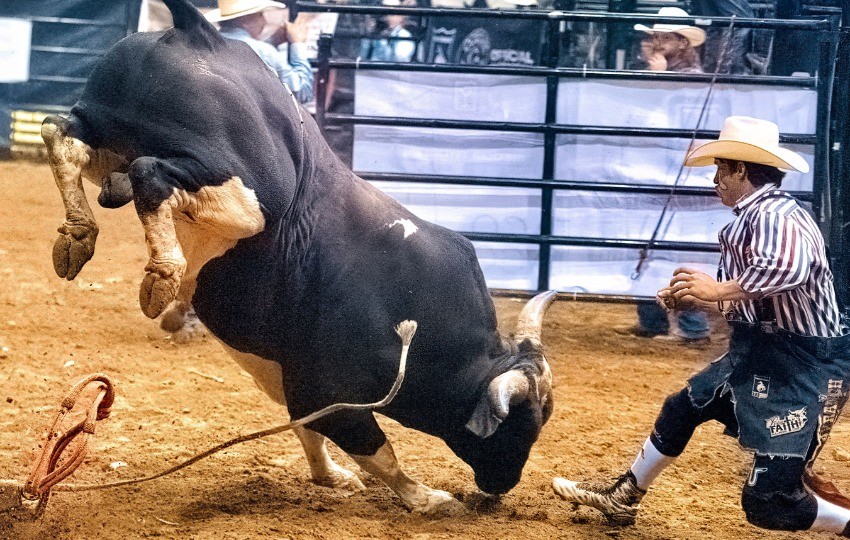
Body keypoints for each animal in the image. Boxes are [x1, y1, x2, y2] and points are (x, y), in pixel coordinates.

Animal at [41, 0, 556, 516]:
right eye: (525, 423)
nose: (505, 483)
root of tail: (202, 33)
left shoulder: (300, 388)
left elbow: (309, 431)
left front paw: (331, 477)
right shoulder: (330, 391)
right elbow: (379, 452)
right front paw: (428, 498)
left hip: (107, 139)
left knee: (63, 136)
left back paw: (77, 237)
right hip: (245, 192)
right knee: (149, 173)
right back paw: (162, 274)